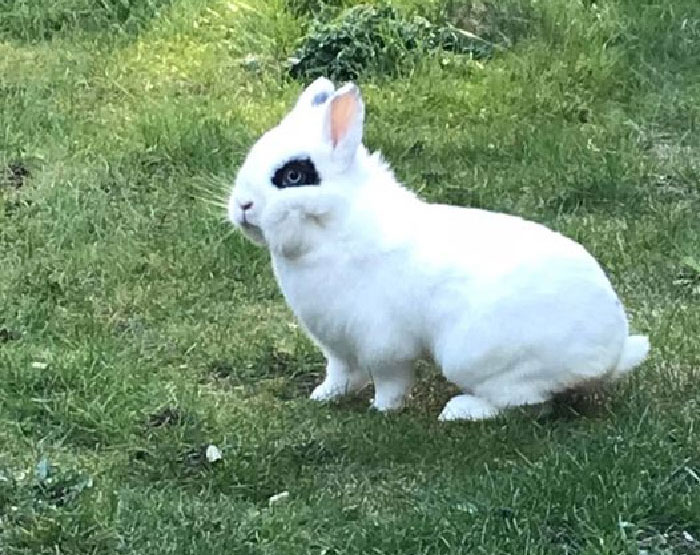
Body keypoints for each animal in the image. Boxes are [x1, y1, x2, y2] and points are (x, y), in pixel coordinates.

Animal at [227, 77, 649, 420]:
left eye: (293, 176)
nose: (242, 205)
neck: (335, 227)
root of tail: (610, 355)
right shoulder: (337, 345)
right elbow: (341, 373)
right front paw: (323, 397)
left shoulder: (384, 344)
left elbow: (390, 381)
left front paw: (382, 409)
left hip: (476, 358)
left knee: (529, 403)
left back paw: (460, 411)